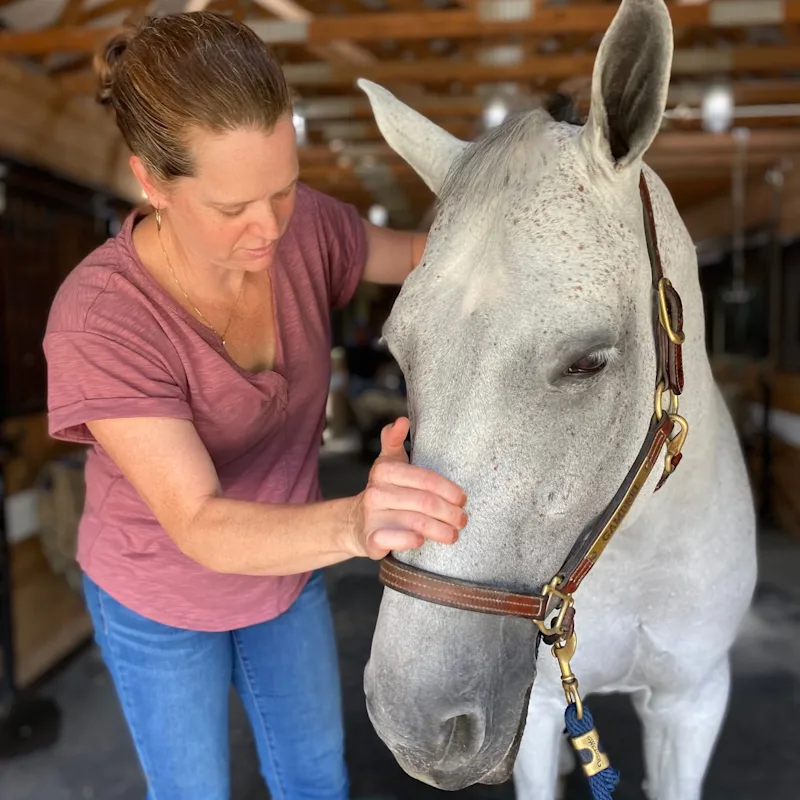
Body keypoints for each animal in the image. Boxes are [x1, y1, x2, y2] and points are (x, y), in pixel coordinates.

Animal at [355, 1, 757, 798]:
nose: (412, 723)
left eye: (588, 361)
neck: (633, 551)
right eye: (400, 351)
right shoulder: (543, 714)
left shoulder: (693, 703)